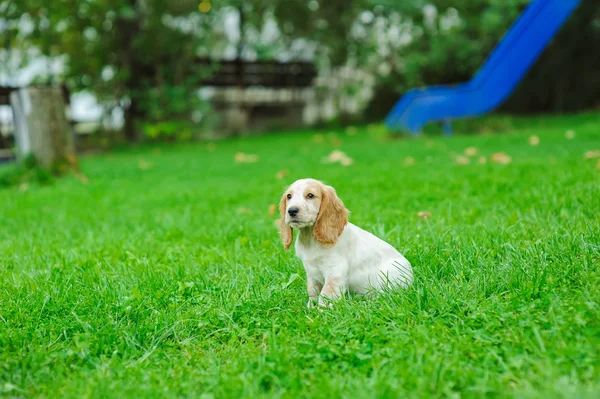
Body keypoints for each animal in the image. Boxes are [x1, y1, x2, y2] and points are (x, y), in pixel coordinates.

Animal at [278, 179, 412, 310]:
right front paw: (310, 307)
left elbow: (325, 296)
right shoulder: (311, 273)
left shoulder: (335, 272)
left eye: (310, 195)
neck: (310, 238)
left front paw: (321, 312)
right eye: (289, 196)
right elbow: (312, 291)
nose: (291, 211)